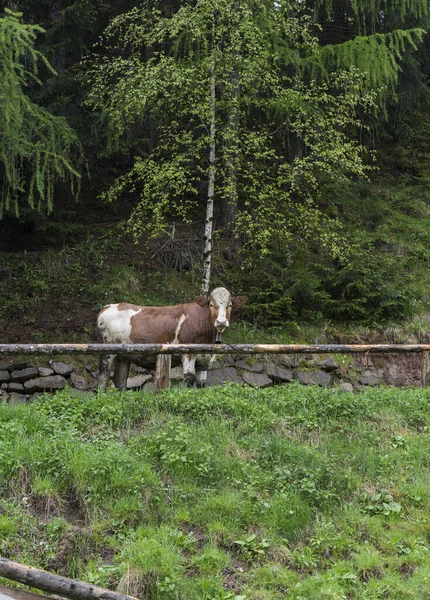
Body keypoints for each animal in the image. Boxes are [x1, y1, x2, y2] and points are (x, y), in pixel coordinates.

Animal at [96, 290, 247, 392]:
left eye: (230, 305)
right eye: (211, 304)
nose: (221, 321)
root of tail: (108, 306)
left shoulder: (204, 359)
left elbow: (202, 382)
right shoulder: (188, 352)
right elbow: (189, 378)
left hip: (124, 355)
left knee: (120, 380)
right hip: (107, 349)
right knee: (103, 375)